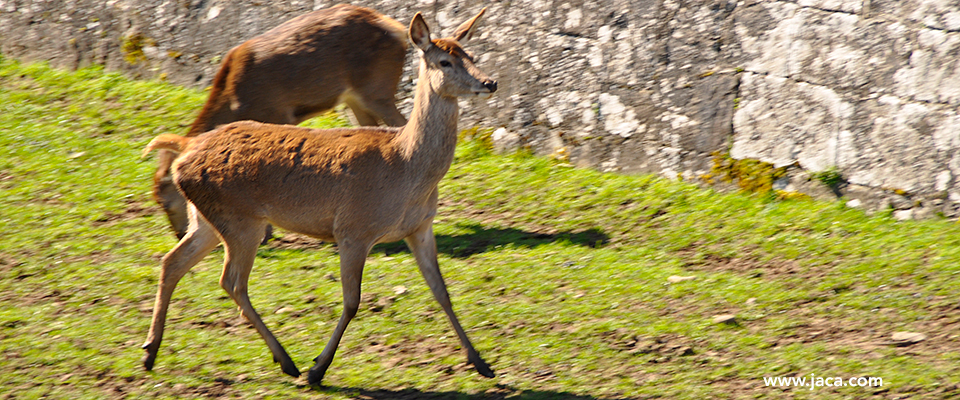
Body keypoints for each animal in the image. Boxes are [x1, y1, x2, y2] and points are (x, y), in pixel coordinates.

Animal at [156, 3, 410, 241]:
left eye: (165, 201)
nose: (180, 233)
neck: (236, 102)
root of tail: (398, 29)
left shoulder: (278, 114)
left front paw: (266, 232)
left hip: (376, 88)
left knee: (400, 122)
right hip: (354, 97)